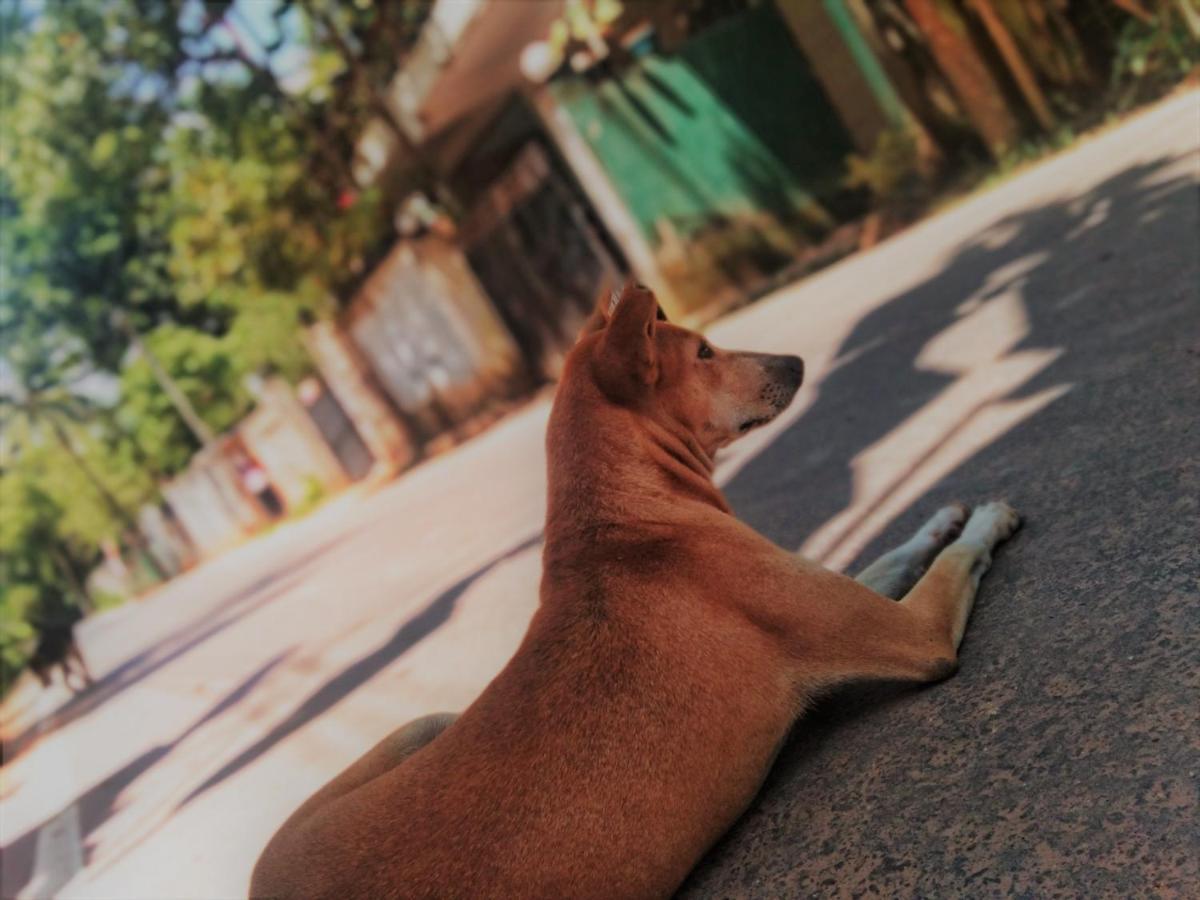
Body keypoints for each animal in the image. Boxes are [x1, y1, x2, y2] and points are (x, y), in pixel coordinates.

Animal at [253, 280, 1022, 897]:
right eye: (705, 352)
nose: (797, 363)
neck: (619, 515)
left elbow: (894, 553)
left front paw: (937, 517)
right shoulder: (915, 635)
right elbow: (956, 562)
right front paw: (986, 517)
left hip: (424, 724)